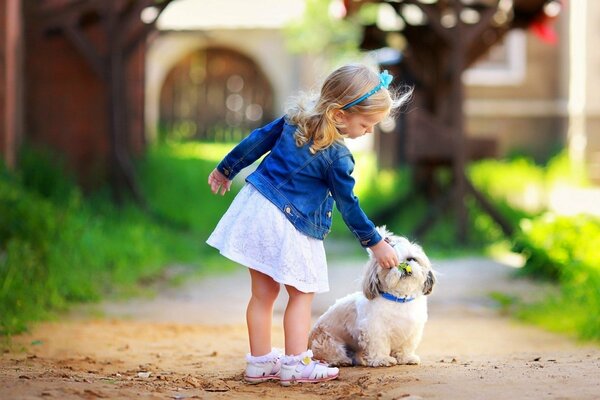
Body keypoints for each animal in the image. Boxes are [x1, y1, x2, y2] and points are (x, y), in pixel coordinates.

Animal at [310, 227, 436, 368]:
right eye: (389, 265)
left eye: (411, 259)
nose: (403, 265)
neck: (399, 299)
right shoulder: (375, 329)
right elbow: (379, 345)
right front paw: (382, 359)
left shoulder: (412, 330)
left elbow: (405, 347)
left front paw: (406, 358)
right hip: (327, 342)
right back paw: (341, 360)